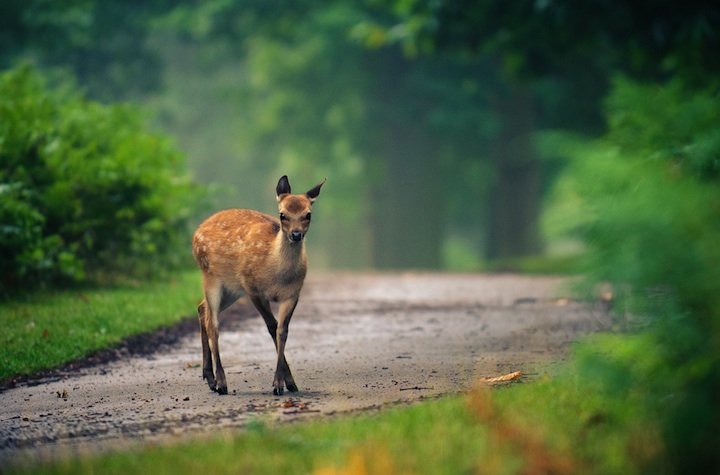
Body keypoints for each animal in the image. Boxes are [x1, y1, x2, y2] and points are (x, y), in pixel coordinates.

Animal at [193, 177, 324, 396]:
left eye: (308, 214)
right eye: (282, 214)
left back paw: (209, 378)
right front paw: (278, 384)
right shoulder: (253, 289)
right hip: (211, 276)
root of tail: (196, 232)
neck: (277, 274)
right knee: (214, 324)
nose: (296, 235)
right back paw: (221, 382)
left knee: (202, 308)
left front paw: (290, 383)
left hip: (231, 289)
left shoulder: (293, 294)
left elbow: (282, 330)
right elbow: (271, 327)